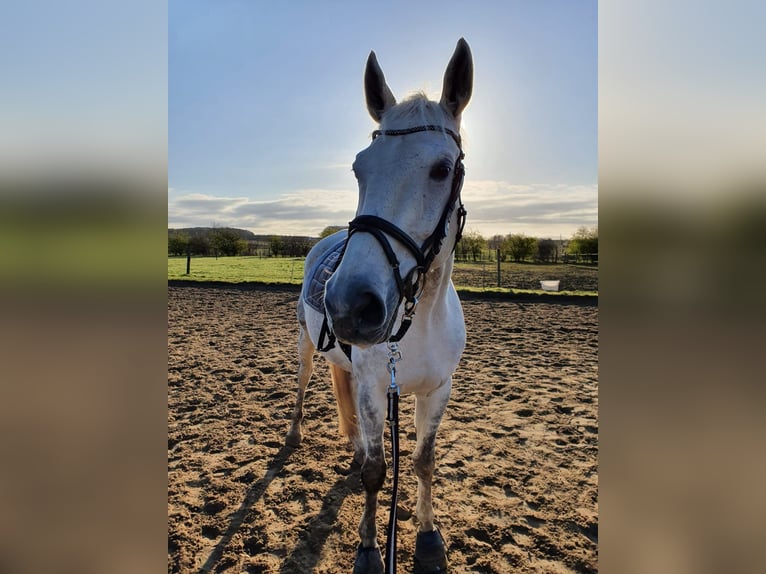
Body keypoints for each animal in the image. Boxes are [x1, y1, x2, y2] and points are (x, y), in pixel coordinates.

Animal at [284, 38, 472, 572]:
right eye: (358, 168)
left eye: (442, 169)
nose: (349, 304)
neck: (419, 321)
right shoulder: (373, 388)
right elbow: (375, 471)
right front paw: (369, 549)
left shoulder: (437, 391)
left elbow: (423, 462)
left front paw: (428, 539)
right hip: (307, 347)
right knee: (305, 383)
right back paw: (297, 435)